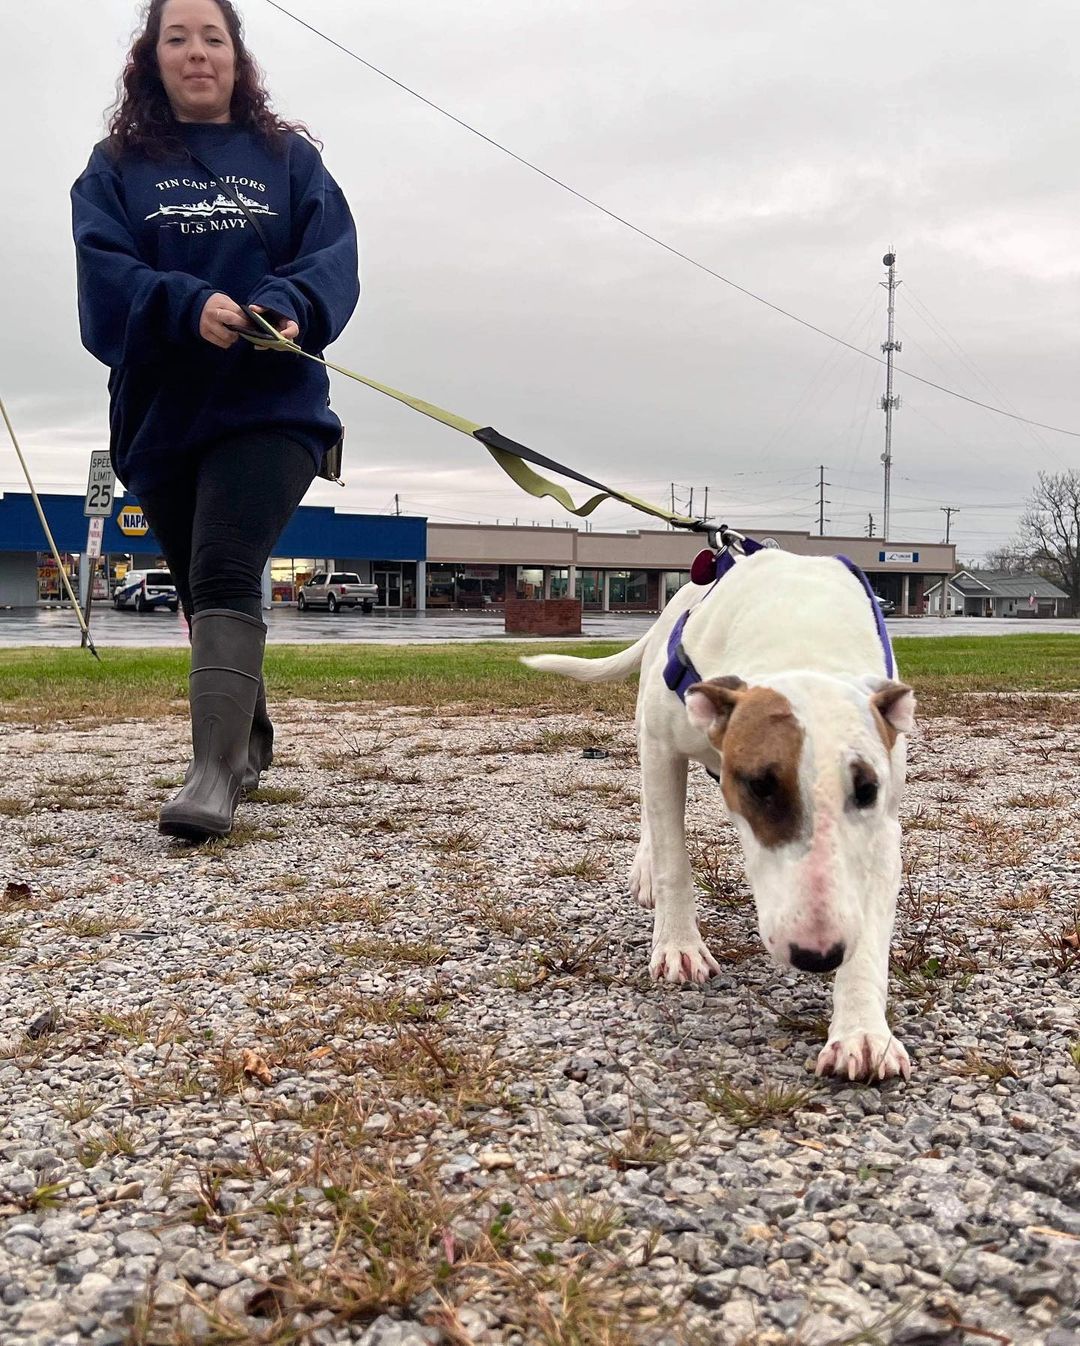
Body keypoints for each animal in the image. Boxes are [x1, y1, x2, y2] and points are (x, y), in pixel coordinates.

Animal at [525, 546, 915, 1082]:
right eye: (760, 785)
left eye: (867, 790)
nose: (818, 955)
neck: (801, 639)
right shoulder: (663, 744)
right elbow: (673, 858)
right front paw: (679, 947)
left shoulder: (884, 824)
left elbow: (871, 928)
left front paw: (862, 1034)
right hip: (649, 726)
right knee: (651, 813)